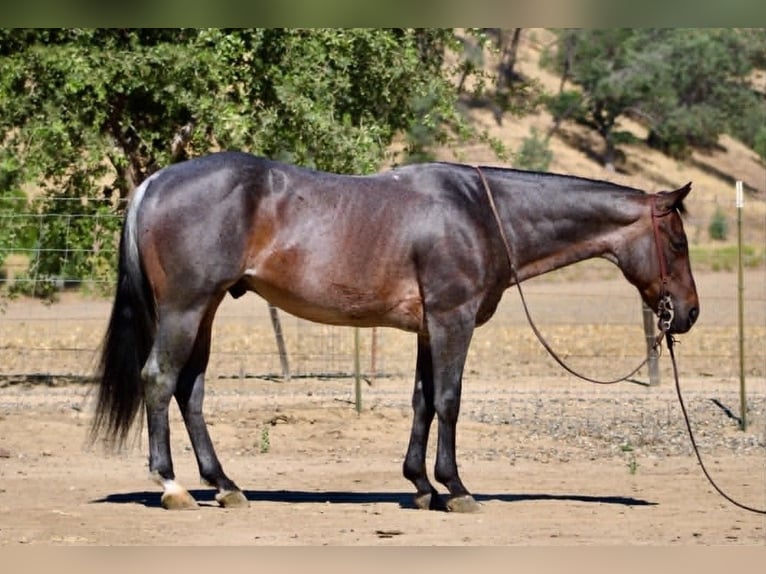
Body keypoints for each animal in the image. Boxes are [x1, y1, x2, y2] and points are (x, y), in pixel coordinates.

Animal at [91, 151, 699, 512]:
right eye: (677, 242)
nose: (688, 315)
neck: (482, 213)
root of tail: (153, 182)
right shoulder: (453, 319)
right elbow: (449, 400)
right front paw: (456, 489)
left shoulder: (430, 328)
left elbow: (422, 401)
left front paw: (422, 486)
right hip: (186, 308)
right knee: (159, 380)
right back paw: (172, 486)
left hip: (208, 309)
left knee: (190, 391)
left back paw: (226, 486)